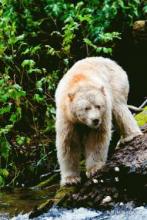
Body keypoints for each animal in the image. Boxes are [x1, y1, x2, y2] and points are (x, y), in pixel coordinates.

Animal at [54, 56, 141, 186]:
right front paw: (71, 179)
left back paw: (130, 136)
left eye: (98, 106)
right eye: (86, 108)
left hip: (116, 84)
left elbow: (96, 138)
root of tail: (112, 62)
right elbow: (69, 143)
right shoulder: (67, 117)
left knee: (119, 107)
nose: (95, 120)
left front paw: (94, 169)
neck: (79, 83)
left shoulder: (103, 113)